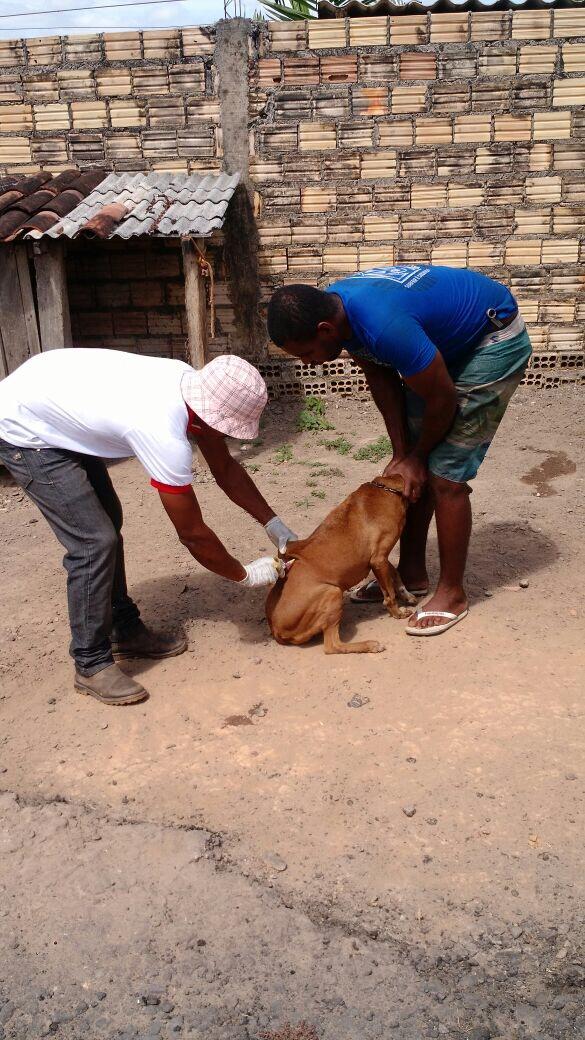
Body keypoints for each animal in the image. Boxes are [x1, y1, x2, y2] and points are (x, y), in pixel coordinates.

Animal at [264, 476, 414, 653]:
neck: (385, 488)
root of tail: (275, 629)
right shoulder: (379, 559)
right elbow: (389, 595)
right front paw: (397, 613)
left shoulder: (379, 558)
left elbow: (396, 575)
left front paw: (407, 595)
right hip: (333, 592)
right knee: (332, 646)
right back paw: (370, 645)